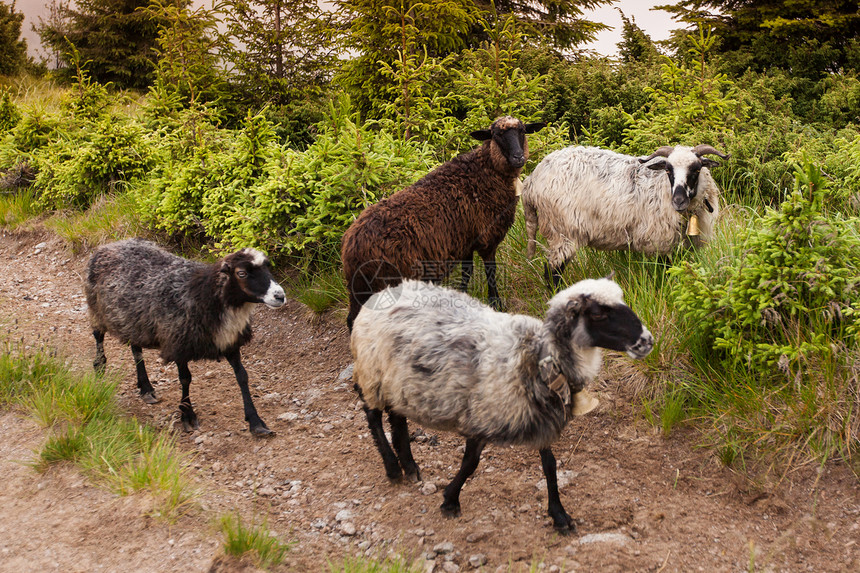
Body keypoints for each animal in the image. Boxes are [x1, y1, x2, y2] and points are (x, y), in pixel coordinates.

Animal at [85, 239, 286, 436]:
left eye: (268, 267)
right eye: (241, 273)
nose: (280, 296)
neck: (206, 297)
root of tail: (111, 244)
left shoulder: (230, 342)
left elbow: (242, 376)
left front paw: (256, 422)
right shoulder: (178, 343)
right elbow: (185, 379)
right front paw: (187, 415)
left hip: (133, 320)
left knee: (136, 349)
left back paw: (146, 388)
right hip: (96, 308)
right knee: (98, 336)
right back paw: (99, 368)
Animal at [340, 115, 544, 330]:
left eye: (522, 131)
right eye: (496, 135)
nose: (518, 157)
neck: (486, 171)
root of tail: (350, 245)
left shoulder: (465, 242)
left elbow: (467, 272)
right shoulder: (487, 239)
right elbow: (491, 272)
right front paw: (496, 303)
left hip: (361, 288)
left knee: (352, 318)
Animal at [350, 278, 652, 532]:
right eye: (598, 313)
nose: (647, 341)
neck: (540, 356)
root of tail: (385, 290)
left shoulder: (538, 416)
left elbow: (550, 465)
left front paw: (559, 515)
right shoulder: (481, 415)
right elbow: (470, 463)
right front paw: (450, 500)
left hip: (397, 384)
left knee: (396, 417)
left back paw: (410, 465)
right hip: (372, 375)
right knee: (373, 416)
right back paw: (393, 467)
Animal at [520, 143, 728, 286]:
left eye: (697, 169)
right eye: (668, 170)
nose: (678, 201)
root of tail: (532, 180)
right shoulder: (660, 241)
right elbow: (666, 271)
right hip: (562, 232)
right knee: (552, 272)